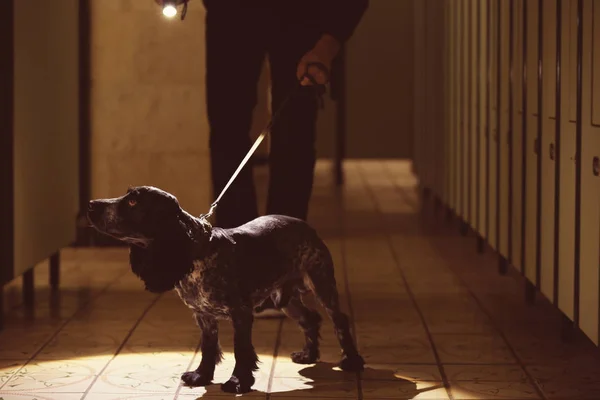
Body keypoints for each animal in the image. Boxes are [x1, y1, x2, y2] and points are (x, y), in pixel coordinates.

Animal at [86, 187, 364, 394]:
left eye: (133, 201)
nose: (90, 204)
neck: (198, 251)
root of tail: (307, 226)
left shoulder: (241, 313)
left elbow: (241, 350)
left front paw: (238, 382)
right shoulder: (203, 315)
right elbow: (208, 348)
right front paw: (201, 376)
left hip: (321, 282)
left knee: (339, 319)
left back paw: (351, 361)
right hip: (283, 298)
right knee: (309, 319)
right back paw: (309, 354)